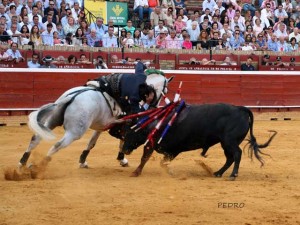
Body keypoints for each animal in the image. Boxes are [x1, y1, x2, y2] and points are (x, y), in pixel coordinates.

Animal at [18, 73, 172, 169]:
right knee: (57, 145)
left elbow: (91, 143)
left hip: (52, 122)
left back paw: (22, 164)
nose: (153, 106)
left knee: (36, 138)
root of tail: (70, 97)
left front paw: (82, 161)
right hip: (75, 132)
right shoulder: (126, 122)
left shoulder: (101, 126)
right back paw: (39, 165)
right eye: (165, 90)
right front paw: (122, 159)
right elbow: (123, 140)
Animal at [120, 103, 278, 179]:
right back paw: (217, 173)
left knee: (237, 155)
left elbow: (149, 158)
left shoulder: (170, 148)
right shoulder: (162, 147)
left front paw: (136, 172)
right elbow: (152, 159)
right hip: (225, 143)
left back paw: (233, 175)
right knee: (230, 158)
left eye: (129, 133)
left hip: (229, 141)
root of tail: (240, 109)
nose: (124, 150)